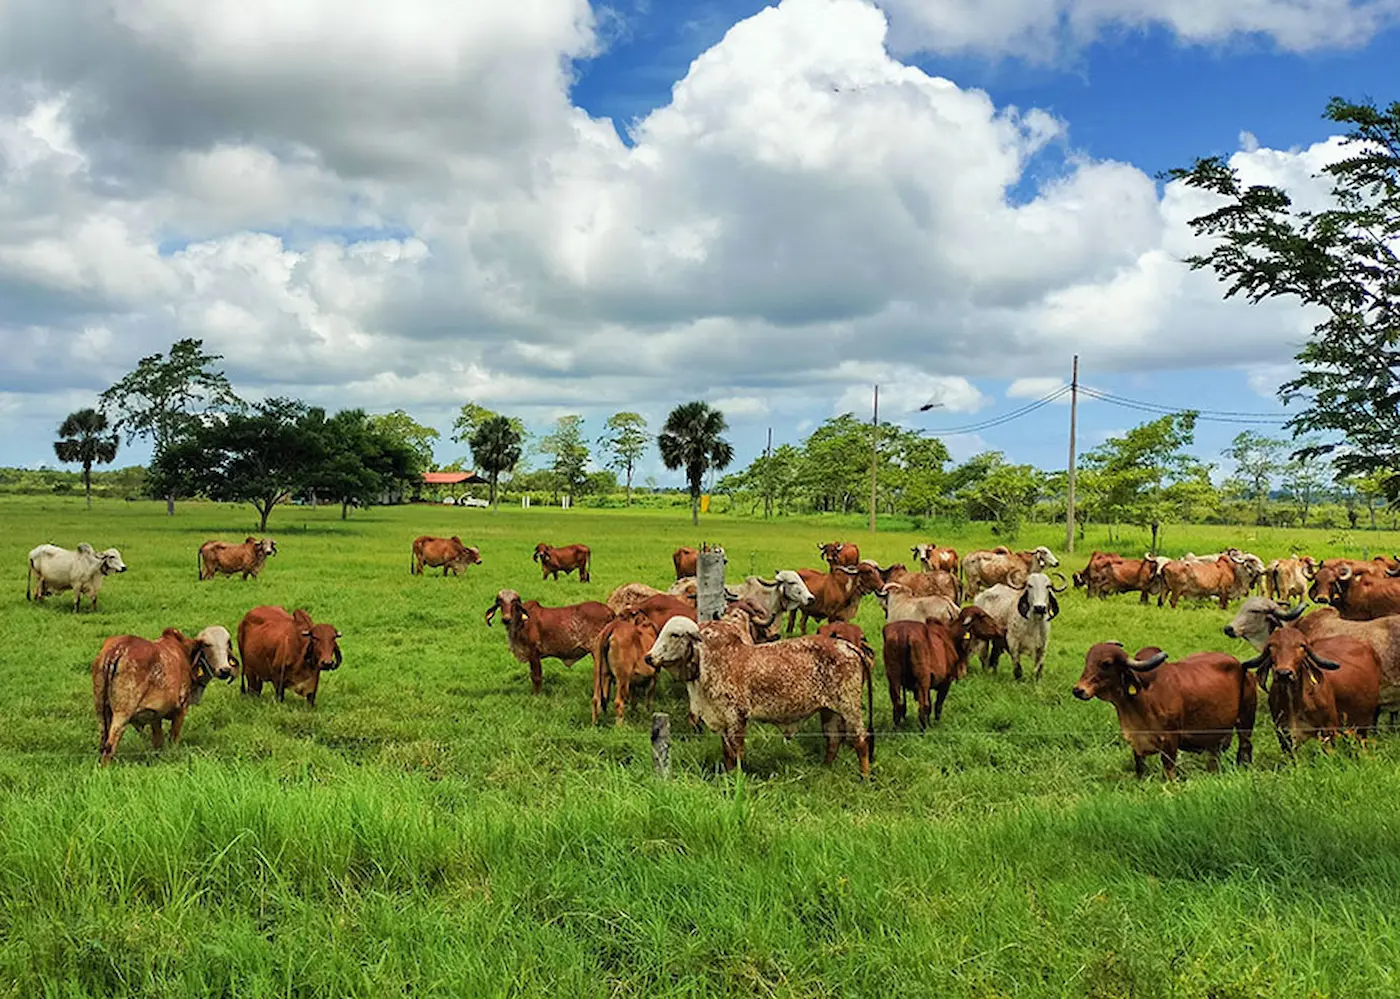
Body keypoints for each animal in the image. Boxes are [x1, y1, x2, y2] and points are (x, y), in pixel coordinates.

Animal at [92, 621, 238, 761]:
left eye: (227, 644)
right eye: (207, 645)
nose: (225, 670)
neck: (185, 651)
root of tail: (117, 650)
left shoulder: (154, 714)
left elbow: (158, 740)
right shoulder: (181, 708)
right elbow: (173, 737)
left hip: (101, 711)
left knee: (103, 742)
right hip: (122, 714)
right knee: (110, 746)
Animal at [644, 615, 873, 772]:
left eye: (674, 634)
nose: (648, 657)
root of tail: (848, 646)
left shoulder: (736, 718)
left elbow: (736, 752)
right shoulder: (721, 719)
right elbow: (727, 753)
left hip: (849, 706)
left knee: (861, 740)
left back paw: (864, 777)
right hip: (829, 711)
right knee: (833, 740)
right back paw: (824, 770)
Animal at [1069, 638, 1260, 777]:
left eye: (1106, 663)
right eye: (1087, 660)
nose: (1078, 690)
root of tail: (1243, 667)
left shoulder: (1170, 739)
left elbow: (1168, 768)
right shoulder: (1136, 742)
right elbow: (1139, 767)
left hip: (1246, 722)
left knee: (1245, 747)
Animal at [1243, 626, 1383, 749]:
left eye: (1301, 646)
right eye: (1271, 646)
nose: (1284, 673)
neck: (1293, 702)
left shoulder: (1328, 730)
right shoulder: (1283, 733)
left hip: (1361, 725)